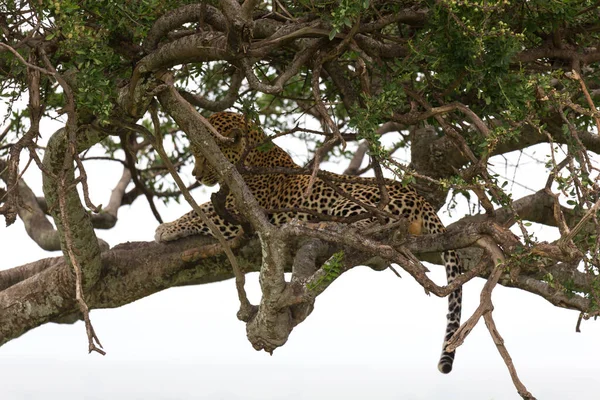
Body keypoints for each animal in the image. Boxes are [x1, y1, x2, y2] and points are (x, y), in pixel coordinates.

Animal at [155, 111, 464, 374]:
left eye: (203, 154)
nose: (195, 175)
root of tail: (421, 198)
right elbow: (203, 209)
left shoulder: (238, 211)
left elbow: (200, 211)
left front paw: (166, 228)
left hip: (349, 201)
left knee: (380, 224)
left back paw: (329, 226)